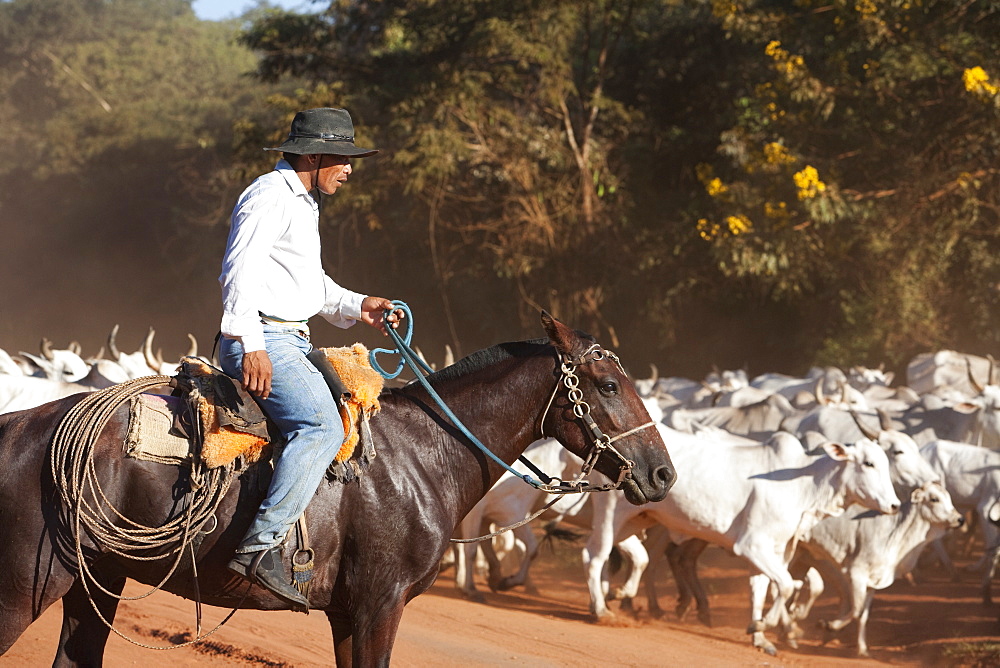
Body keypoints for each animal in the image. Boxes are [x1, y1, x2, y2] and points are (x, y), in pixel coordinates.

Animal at [0, 312, 676, 664]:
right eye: (607, 385)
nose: (663, 474)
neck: (423, 455)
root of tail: (20, 425)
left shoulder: (350, 612)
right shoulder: (380, 604)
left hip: (95, 580)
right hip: (25, 586)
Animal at [580, 426, 900, 656]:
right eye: (869, 463)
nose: (895, 505)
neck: (803, 485)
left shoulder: (772, 550)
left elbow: (760, 591)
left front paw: (760, 637)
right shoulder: (752, 545)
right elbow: (785, 586)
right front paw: (763, 625)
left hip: (638, 518)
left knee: (620, 555)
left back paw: (614, 595)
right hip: (610, 511)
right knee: (596, 555)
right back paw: (601, 610)